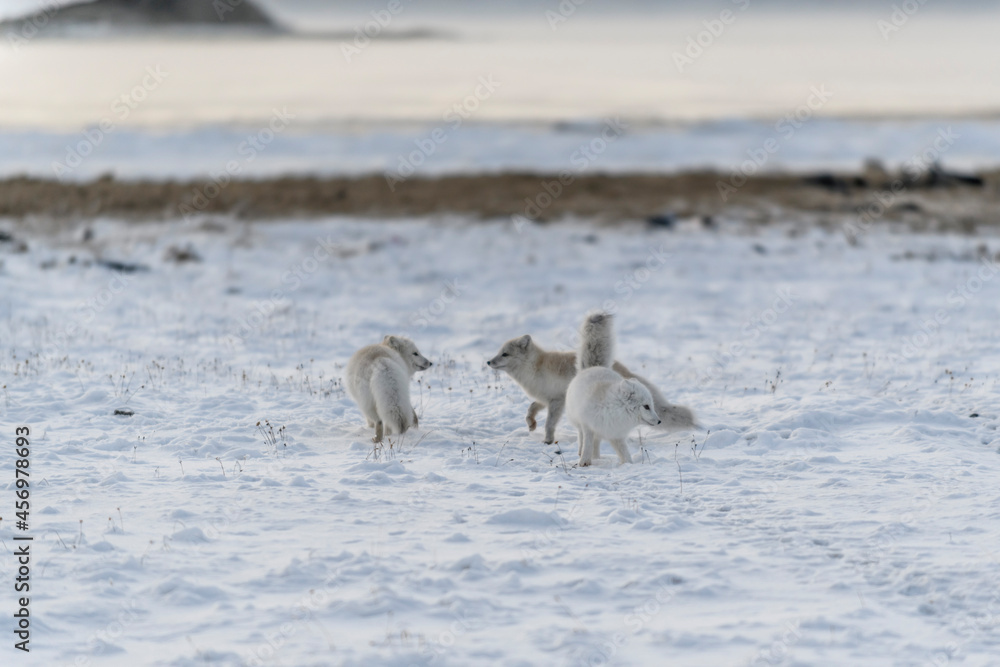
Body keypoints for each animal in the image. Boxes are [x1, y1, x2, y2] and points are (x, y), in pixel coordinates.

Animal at [486, 315, 695, 446]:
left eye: (505, 354)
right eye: (499, 352)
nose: (488, 362)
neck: (536, 368)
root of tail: (621, 367)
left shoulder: (557, 401)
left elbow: (549, 423)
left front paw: (547, 440)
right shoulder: (545, 399)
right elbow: (530, 409)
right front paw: (531, 425)